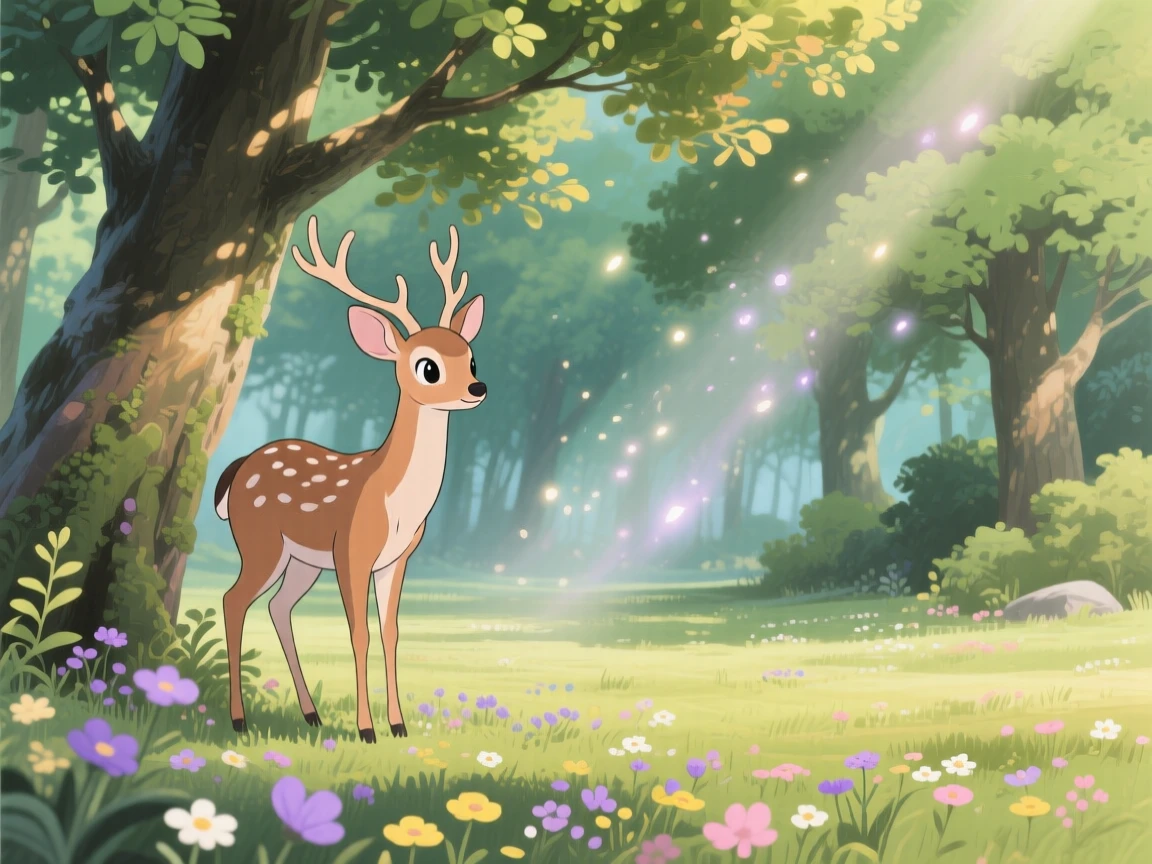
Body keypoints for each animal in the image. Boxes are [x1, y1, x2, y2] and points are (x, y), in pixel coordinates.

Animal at [213, 214, 485, 742]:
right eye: (427, 367)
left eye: (471, 357)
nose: (478, 387)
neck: (396, 502)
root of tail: (237, 469)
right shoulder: (351, 551)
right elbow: (358, 633)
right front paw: (366, 729)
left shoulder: (397, 558)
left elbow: (391, 632)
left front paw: (397, 725)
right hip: (259, 541)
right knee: (234, 601)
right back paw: (238, 718)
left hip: (301, 560)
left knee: (278, 608)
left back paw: (311, 713)